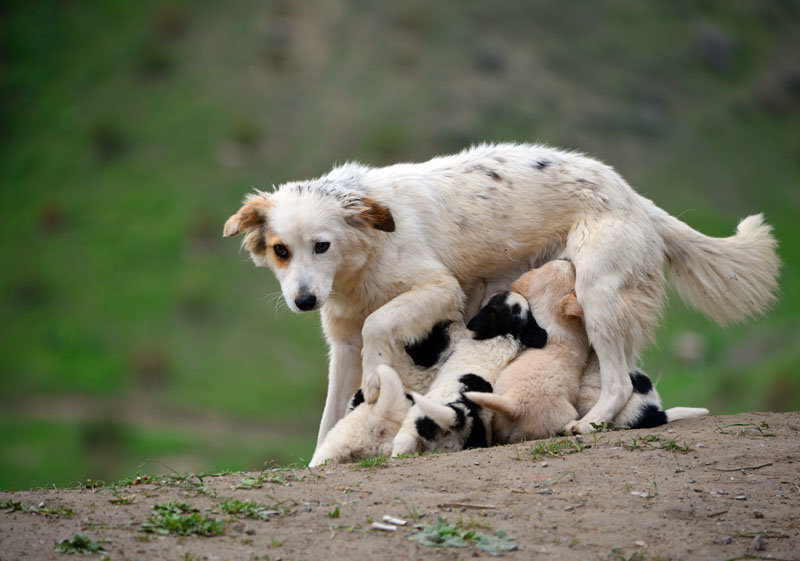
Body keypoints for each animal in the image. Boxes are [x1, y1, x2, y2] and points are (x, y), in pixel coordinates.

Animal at [390, 290, 548, 458]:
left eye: (496, 300)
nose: (507, 290)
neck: (503, 335)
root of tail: (459, 416)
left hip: (409, 428)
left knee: (400, 449)